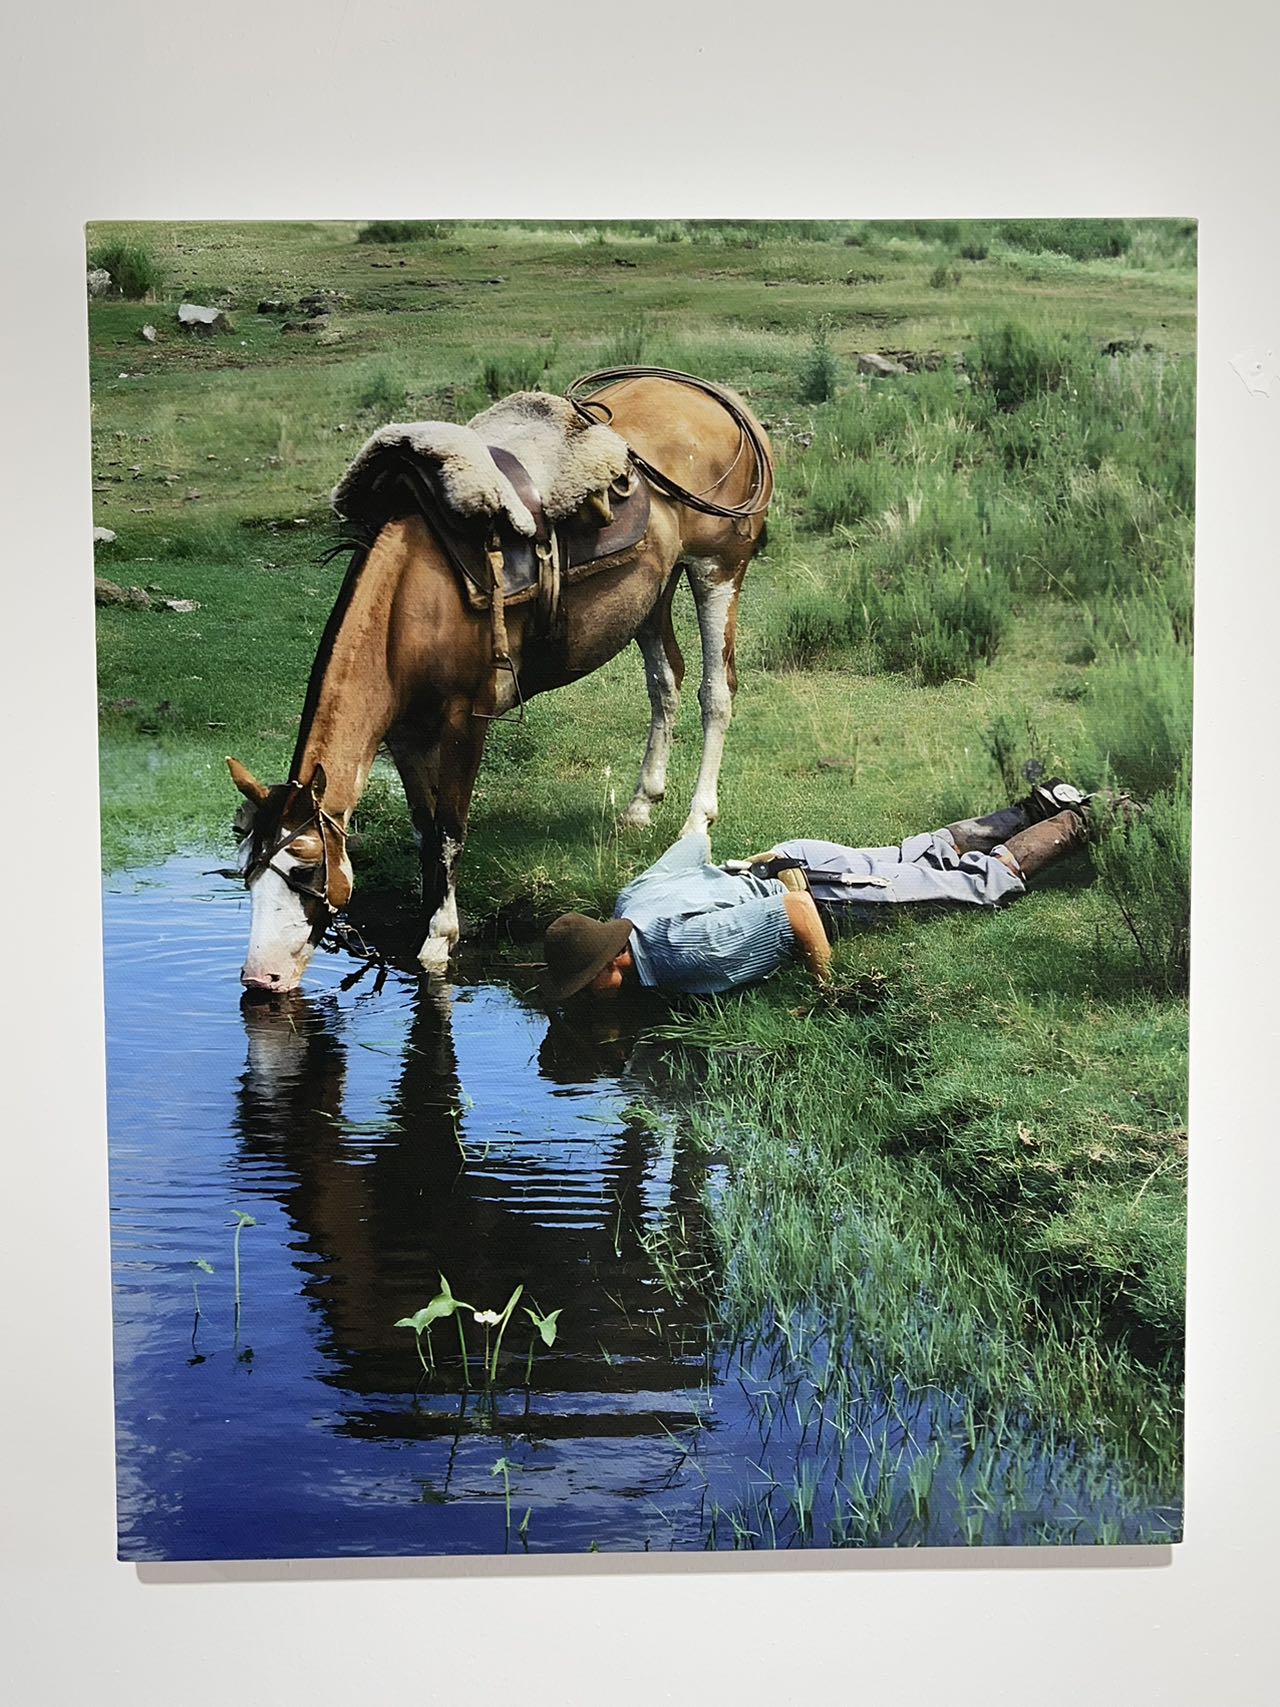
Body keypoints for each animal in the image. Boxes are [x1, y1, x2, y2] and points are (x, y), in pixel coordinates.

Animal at [225, 373, 778, 990]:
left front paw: (439, 941)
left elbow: (449, 829)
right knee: (666, 681)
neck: (413, 606)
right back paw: (641, 805)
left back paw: (695, 820)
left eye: (305, 872)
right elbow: (424, 828)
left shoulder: (468, 718)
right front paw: (429, 917)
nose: (261, 978)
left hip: (717, 569)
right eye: (247, 872)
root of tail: (717, 399)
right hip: (653, 592)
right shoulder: (403, 733)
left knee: (715, 692)